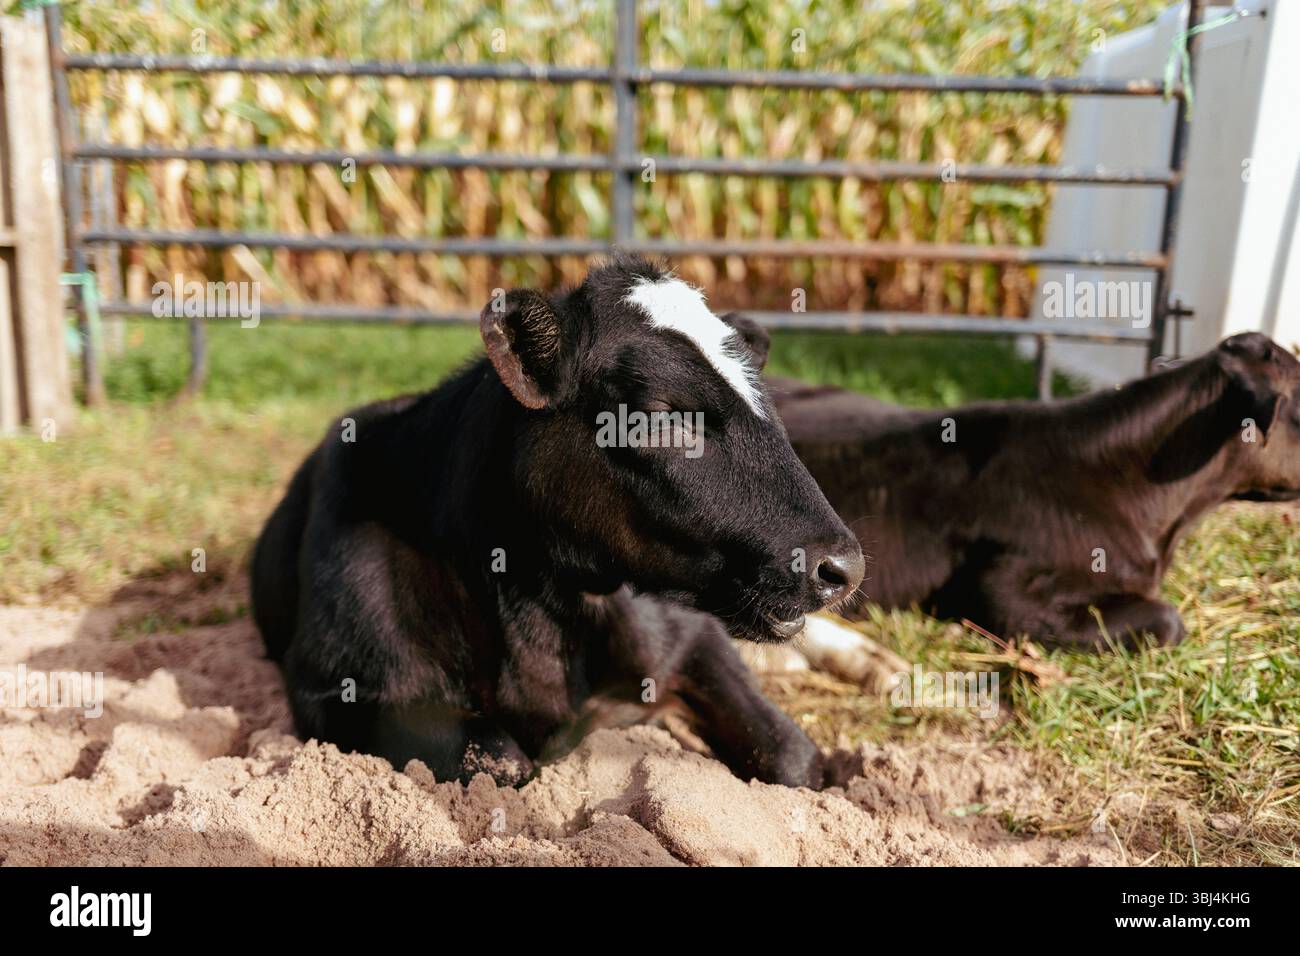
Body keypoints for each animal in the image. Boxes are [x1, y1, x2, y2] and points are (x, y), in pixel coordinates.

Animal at [250, 255, 864, 788]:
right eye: (660, 415)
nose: (843, 567)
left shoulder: (692, 635)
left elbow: (794, 757)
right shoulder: (334, 690)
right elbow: (501, 760)